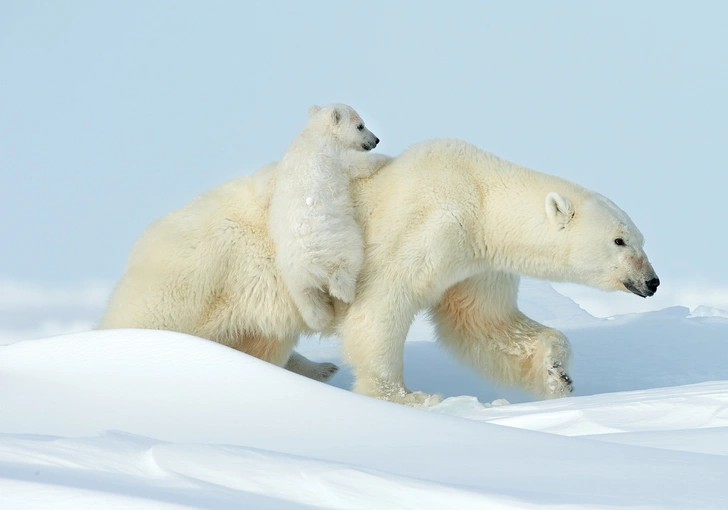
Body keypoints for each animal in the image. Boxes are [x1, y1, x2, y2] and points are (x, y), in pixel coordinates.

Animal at [98, 138, 660, 406]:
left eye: (641, 239)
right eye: (620, 241)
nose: (652, 282)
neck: (479, 192)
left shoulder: (473, 263)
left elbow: (483, 322)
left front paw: (557, 373)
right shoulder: (425, 224)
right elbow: (382, 306)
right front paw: (410, 397)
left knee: (261, 340)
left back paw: (309, 368)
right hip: (201, 272)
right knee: (150, 318)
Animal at [268, 102, 390, 330]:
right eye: (360, 126)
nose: (376, 140)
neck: (316, 132)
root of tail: (312, 267)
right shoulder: (335, 154)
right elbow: (359, 164)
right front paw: (388, 157)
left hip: (293, 276)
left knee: (308, 301)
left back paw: (323, 317)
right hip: (341, 243)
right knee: (345, 271)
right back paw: (348, 296)